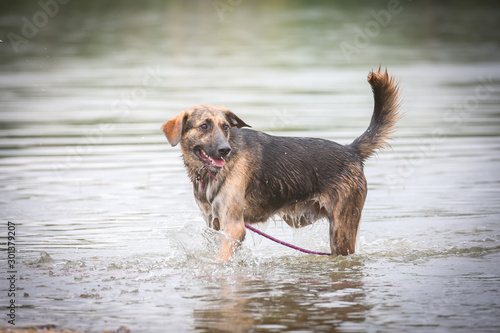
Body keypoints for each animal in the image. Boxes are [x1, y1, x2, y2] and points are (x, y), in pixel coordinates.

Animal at [162, 68, 400, 262]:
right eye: (204, 126)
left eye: (226, 127)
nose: (225, 150)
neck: (208, 174)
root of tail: (352, 150)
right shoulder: (214, 223)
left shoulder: (234, 227)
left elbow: (220, 259)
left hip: (341, 231)